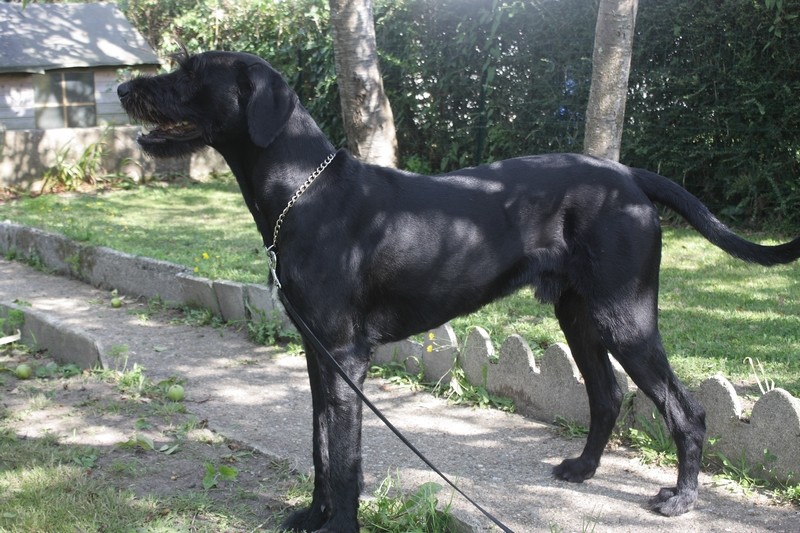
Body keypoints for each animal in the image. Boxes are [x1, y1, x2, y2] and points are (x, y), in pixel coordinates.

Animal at [119, 51, 800, 532]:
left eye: (191, 71)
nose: (124, 90)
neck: (301, 191)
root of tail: (629, 176)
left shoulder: (344, 357)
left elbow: (345, 459)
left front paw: (339, 526)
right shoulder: (318, 355)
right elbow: (318, 447)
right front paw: (312, 517)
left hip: (625, 317)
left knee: (686, 410)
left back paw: (681, 500)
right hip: (580, 314)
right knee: (606, 396)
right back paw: (582, 470)